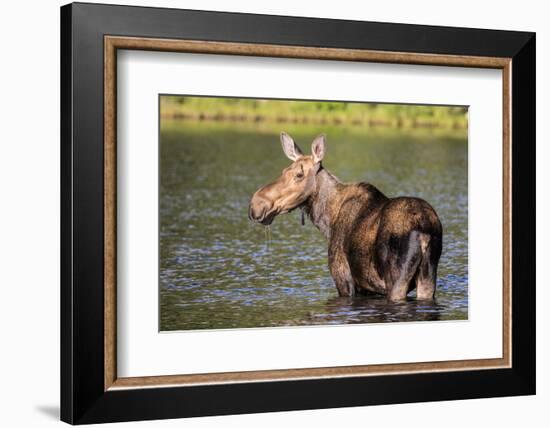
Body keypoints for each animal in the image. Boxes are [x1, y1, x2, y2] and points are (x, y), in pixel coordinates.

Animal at [250, 133, 444, 300]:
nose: (256, 204)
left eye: (299, 174)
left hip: (397, 280)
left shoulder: (343, 278)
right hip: (428, 278)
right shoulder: (366, 288)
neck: (327, 221)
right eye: (284, 171)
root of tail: (425, 231)